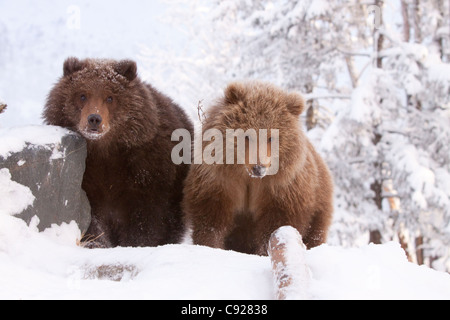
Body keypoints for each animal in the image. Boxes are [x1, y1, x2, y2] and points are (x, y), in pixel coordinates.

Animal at [42, 57, 195, 248]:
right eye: (82, 95)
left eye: (110, 97)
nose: (94, 118)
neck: (106, 150)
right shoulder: (88, 175)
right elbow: (88, 214)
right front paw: (96, 242)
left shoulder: (147, 171)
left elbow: (147, 220)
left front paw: (136, 243)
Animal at [183, 81, 334, 256]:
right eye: (247, 135)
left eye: (271, 137)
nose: (258, 168)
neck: (248, 178)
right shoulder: (220, 181)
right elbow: (211, 217)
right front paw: (210, 245)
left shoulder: (281, 189)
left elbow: (276, 222)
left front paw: (265, 250)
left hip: (319, 203)